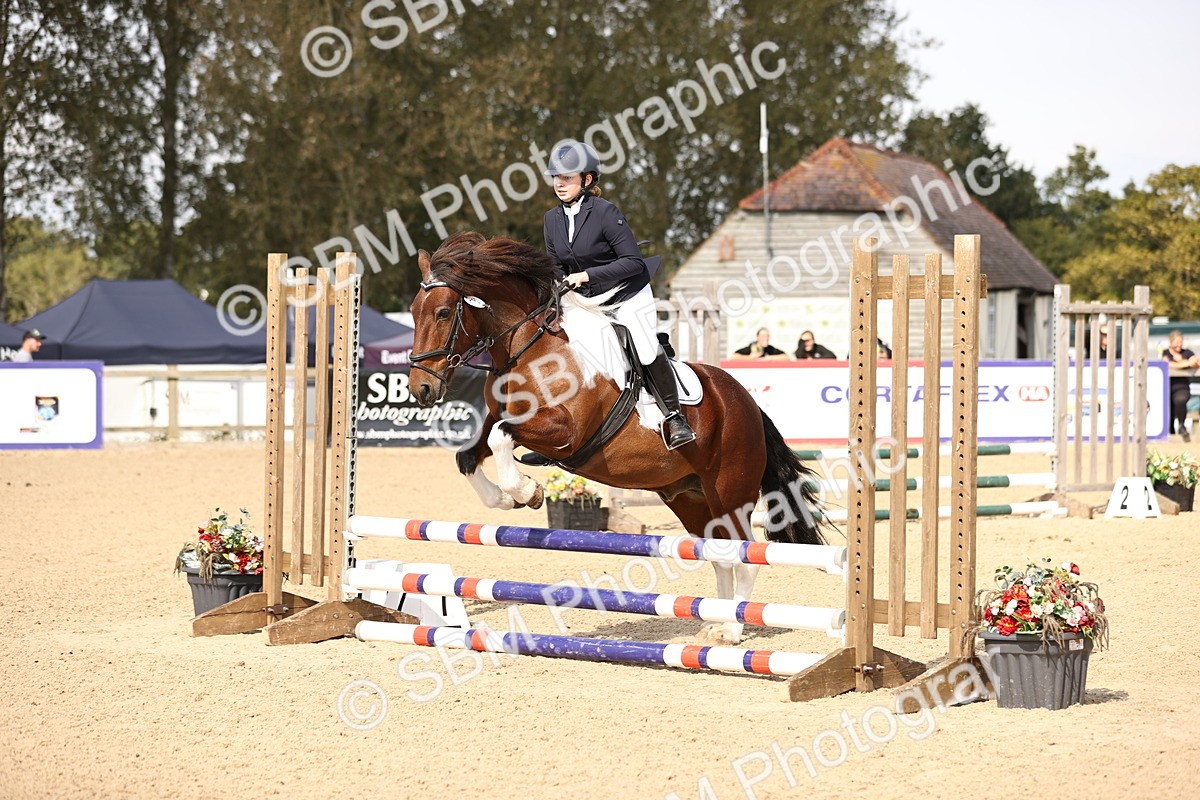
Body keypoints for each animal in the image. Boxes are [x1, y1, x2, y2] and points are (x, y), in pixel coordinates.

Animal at [408, 231, 825, 644]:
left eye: (443, 312)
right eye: (413, 311)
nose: (421, 389)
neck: (530, 347)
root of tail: (746, 403)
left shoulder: (565, 432)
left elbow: (500, 438)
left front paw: (527, 491)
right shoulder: (502, 416)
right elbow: (469, 455)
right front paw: (505, 498)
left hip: (730, 490)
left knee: (745, 554)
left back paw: (733, 631)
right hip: (690, 496)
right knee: (720, 553)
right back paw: (716, 623)